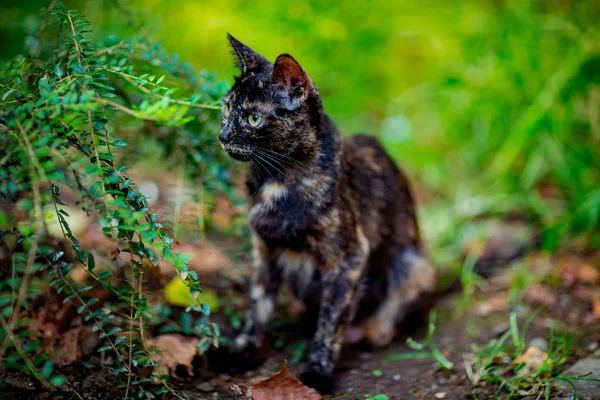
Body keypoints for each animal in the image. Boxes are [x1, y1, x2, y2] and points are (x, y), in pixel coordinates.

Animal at [216, 33, 436, 394]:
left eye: (252, 119)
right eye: (225, 110)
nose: (222, 136)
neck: (276, 181)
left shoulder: (348, 258)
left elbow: (330, 323)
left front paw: (318, 371)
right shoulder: (264, 252)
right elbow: (257, 306)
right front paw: (243, 350)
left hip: (415, 266)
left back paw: (367, 331)